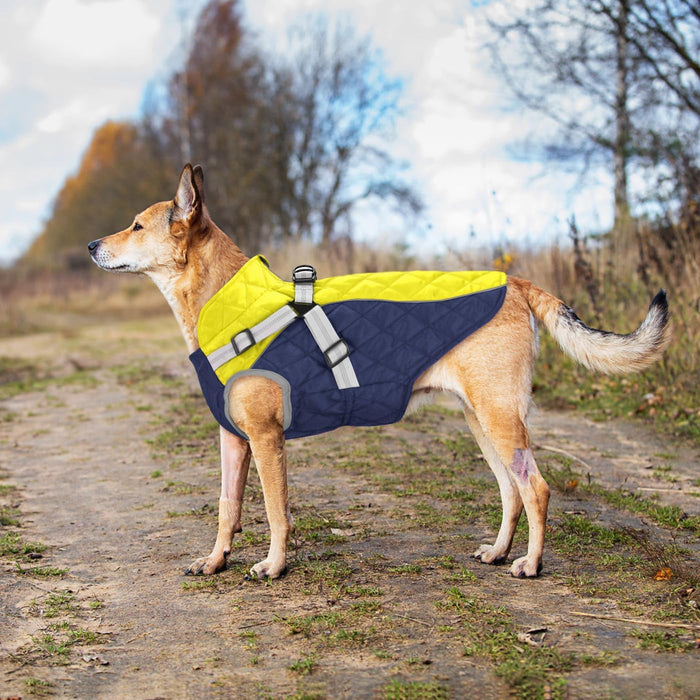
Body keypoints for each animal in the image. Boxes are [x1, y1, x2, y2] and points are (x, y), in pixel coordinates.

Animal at [87, 164, 672, 580]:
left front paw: (274, 566)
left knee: (537, 489)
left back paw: (530, 564)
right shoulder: (234, 440)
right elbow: (227, 507)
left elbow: (275, 510)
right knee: (510, 489)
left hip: (501, 418)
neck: (228, 302)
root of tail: (516, 283)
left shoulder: (267, 440)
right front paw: (215, 561)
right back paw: (501, 553)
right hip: (480, 421)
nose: (91, 244)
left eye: (136, 225)